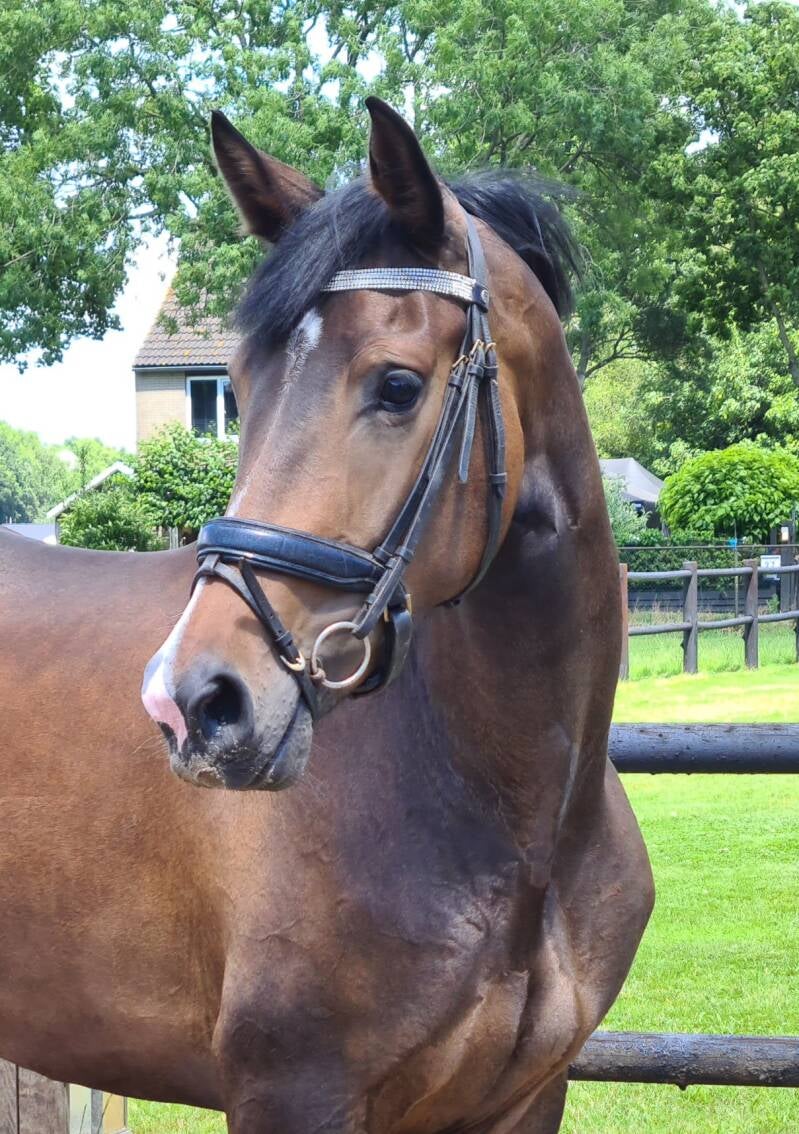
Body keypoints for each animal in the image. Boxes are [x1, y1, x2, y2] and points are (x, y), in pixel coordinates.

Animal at [0, 98, 652, 1133]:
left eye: (397, 385)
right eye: (234, 387)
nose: (194, 704)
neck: (519, 822)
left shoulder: (525, 1100)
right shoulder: (295, 1095)